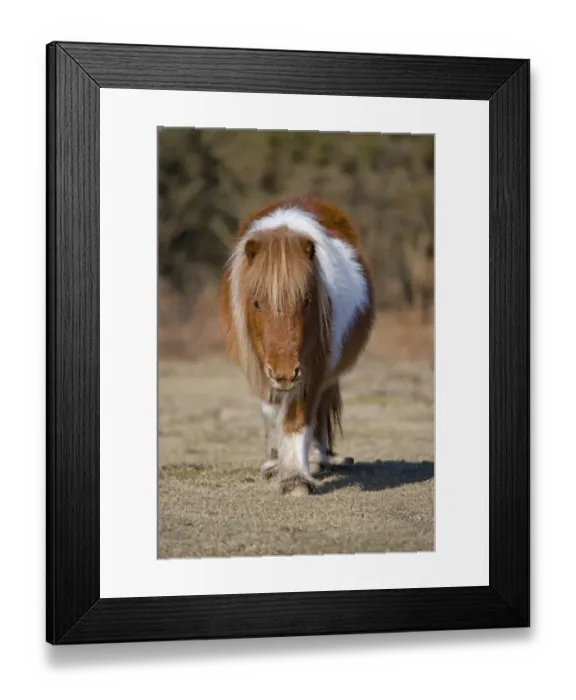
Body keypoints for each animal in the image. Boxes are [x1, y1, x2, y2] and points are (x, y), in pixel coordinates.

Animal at [219, 195, 374, 496]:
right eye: (256, 302)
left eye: (307, 300)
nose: (284, 372)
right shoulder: (261, 368)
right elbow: (272, 413)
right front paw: (275, 465)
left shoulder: (312, 369)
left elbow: (297, 417)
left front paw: (295, 479)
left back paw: (317, 457)